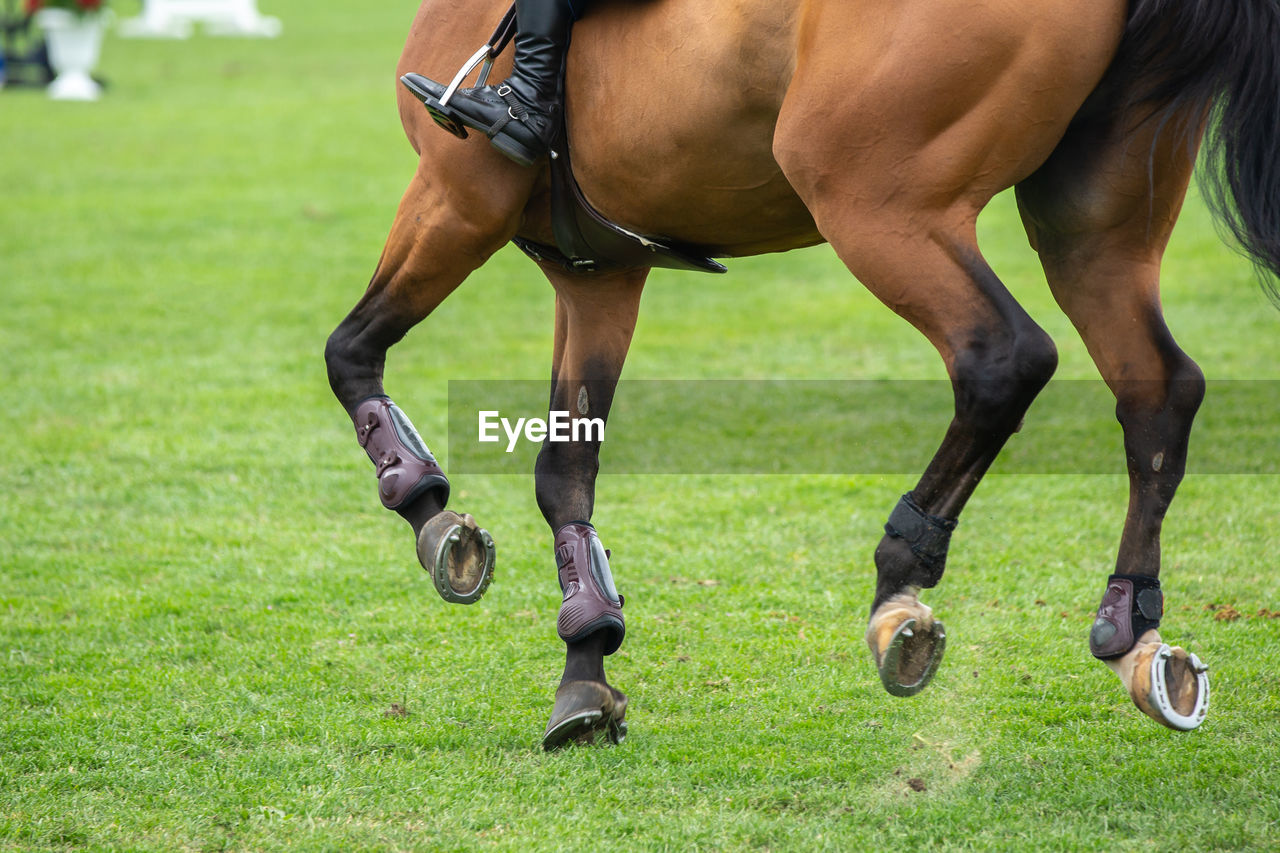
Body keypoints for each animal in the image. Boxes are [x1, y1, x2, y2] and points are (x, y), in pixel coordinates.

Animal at [322, 0, 1280, 742]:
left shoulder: (458, 199)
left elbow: (349, 351)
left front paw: (429, 511)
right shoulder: (596, 274)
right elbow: (566, 475)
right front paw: (586, 663)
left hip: (874, 201)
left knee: (1004, 358)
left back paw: (902, 578)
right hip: (1091, 228)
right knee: (1158, 388)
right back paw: (1131, 628)